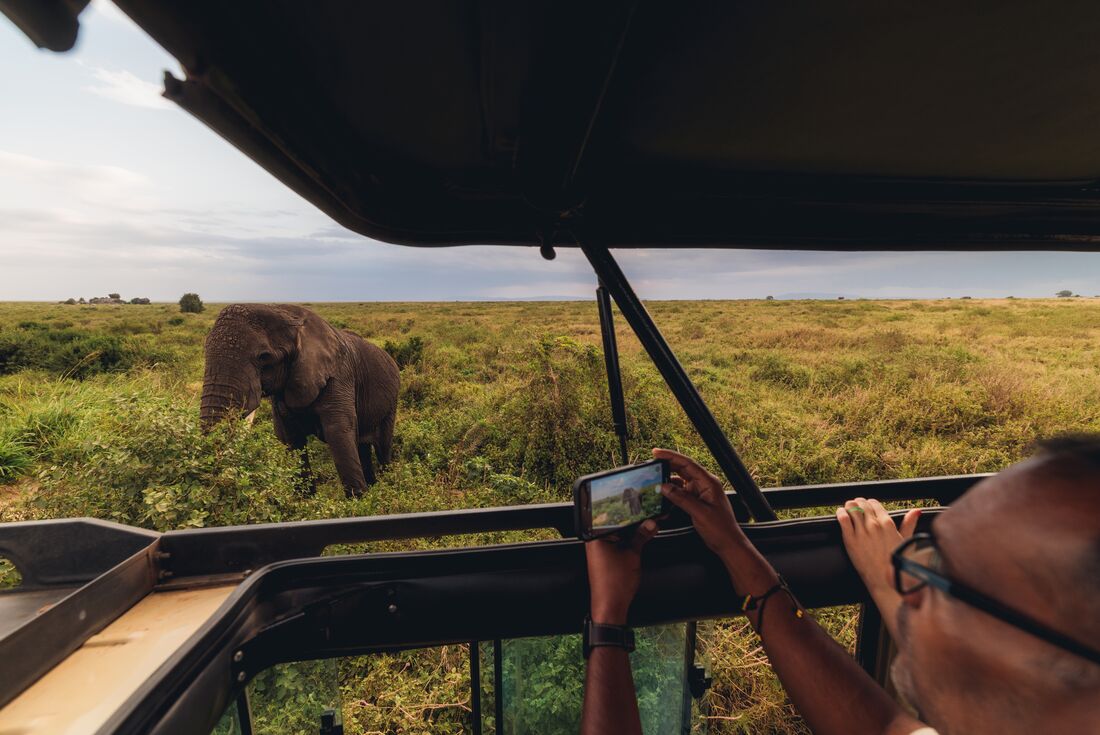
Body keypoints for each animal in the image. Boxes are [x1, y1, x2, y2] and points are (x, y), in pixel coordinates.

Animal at [200, 304, 399, 497]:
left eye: (264, 357)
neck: (286, 313)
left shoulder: (339, 376)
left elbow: (338, 433)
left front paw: (358, 502)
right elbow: (291, 437)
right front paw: (305, 501)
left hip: (392, 401)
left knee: (382, 445)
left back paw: (387, 486)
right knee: (363, 446)